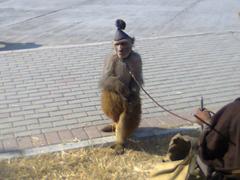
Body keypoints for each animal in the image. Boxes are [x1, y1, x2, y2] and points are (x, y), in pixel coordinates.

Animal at [99, 19, 143, 155]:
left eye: (123, 43)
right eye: (117, 44)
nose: (120, 49)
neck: (124, 59)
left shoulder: (137, 58)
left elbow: (137, 80)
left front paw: (132, 92)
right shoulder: (111, 57)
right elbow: (106, 79)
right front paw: (123, 89)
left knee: (130, 110)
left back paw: (120, 141)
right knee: (111, 90)